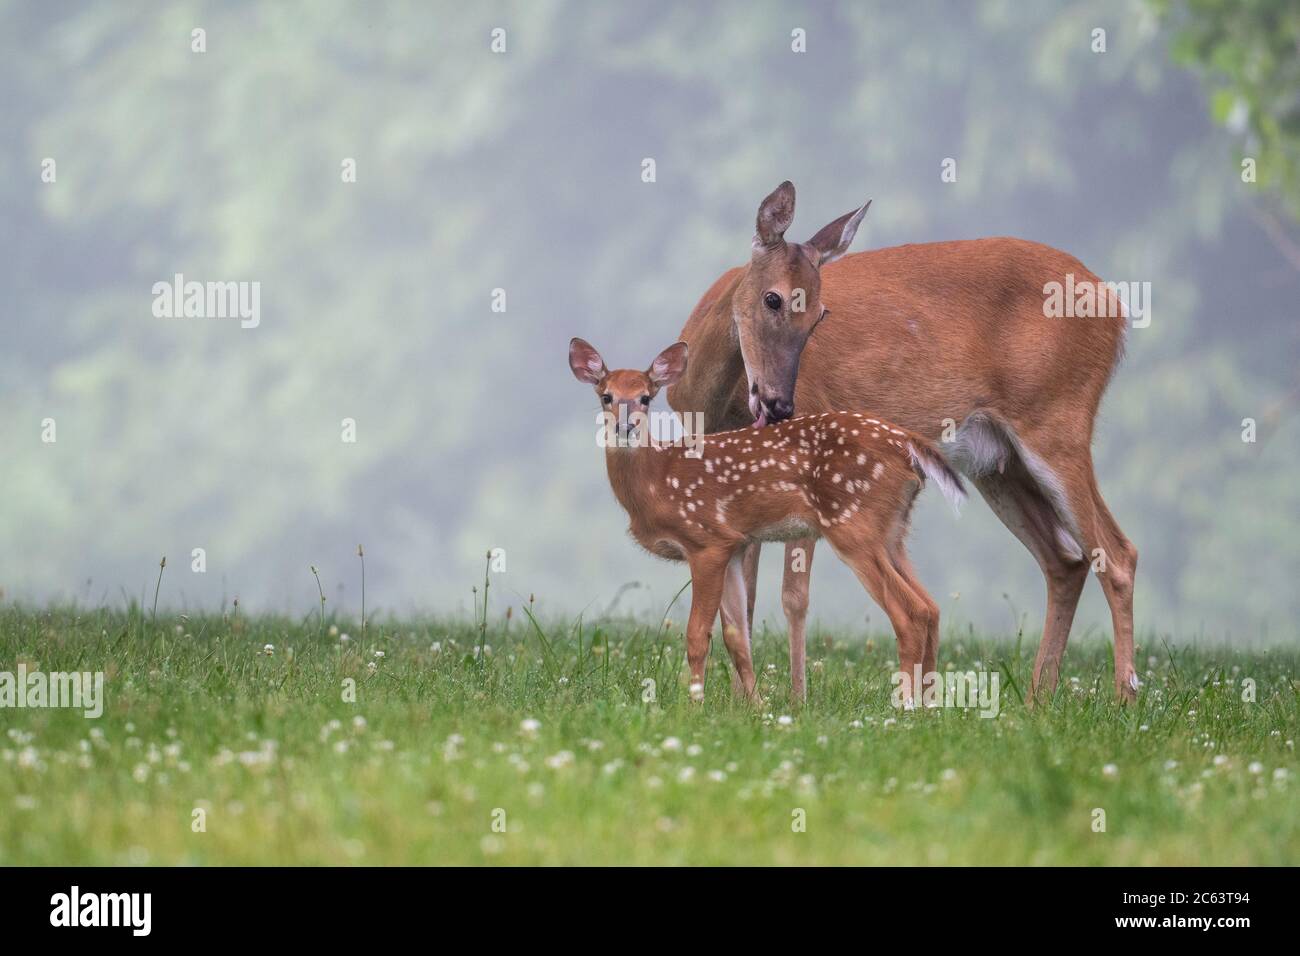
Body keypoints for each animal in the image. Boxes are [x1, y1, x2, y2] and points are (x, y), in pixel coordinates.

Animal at [670, 180, 1138, 702]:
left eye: (819, 316)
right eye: (773, 299)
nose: (779, 406)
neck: (710, 403)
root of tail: (1115, 308)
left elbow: (793, 596)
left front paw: (794, 699)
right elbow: (743, 597)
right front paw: (742, 702)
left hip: (1057, 416)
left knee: (1117, 553)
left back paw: (1124, 695)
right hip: (997, 461)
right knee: (1065, 560)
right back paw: (1039, 696)